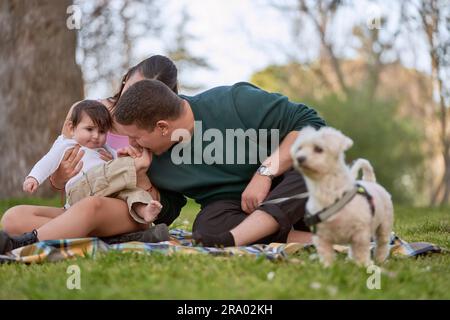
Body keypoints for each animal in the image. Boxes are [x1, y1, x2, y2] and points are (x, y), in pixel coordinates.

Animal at [292, 126, 394, 266]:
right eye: (299, 148)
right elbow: (326, 255)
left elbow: (362, 252)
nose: (299, 158)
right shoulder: (321, 237)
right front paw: (327, 267)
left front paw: (363, 266)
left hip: (384, 225)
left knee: (382, 243)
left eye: (318, 149)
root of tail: (370, 181)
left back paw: (380, 260)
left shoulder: (361, 233)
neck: (329, 192)